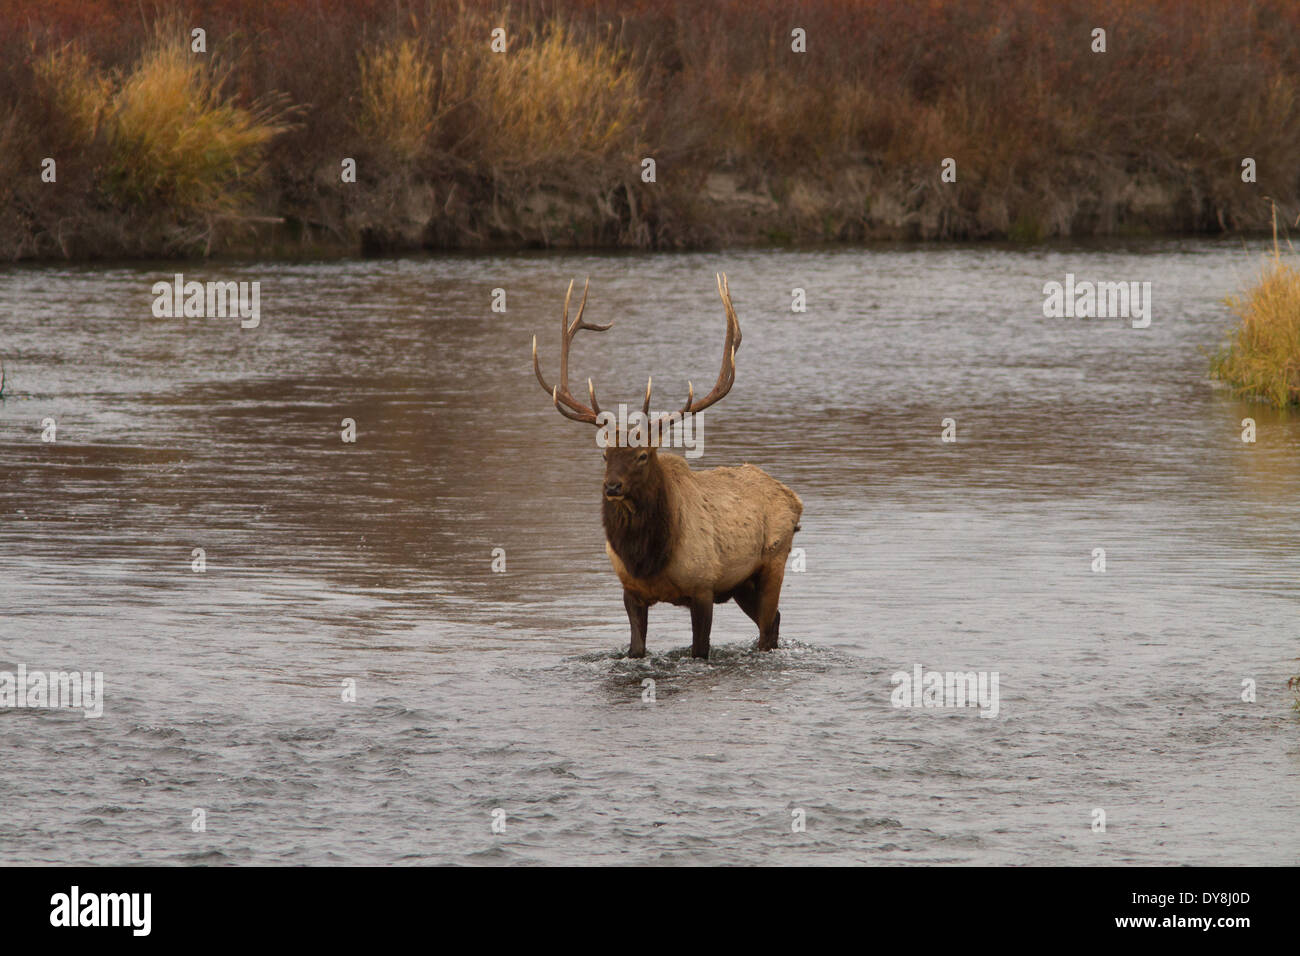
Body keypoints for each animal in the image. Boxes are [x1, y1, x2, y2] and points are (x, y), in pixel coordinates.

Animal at [530, 274, 800, 658]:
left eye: (643, 454)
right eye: (605, 455)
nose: (612, 487)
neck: (649, 559)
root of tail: (794, 498)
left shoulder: (703, 588)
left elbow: (699, 650)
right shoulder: (630, 591)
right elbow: (636, 649)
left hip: (772, 562)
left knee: (767, 627)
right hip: (742, 584)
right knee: (775, 620)